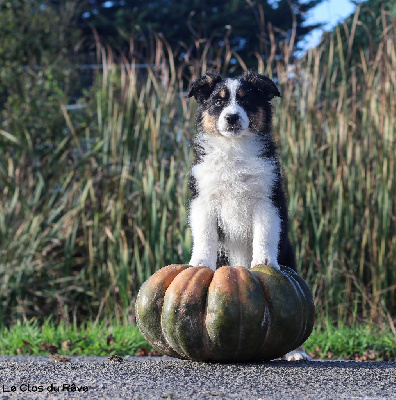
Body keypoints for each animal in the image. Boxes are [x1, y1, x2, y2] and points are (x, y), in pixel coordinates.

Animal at [187, 71, 310, 362]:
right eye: (218, 102)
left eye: (246, 100)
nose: (232, 117)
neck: (234, 149)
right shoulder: (203, 201)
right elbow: (205, 236)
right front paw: (199, 263)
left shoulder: (267, 201)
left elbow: (264, 234)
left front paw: (263, 261)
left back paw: (296, 353)